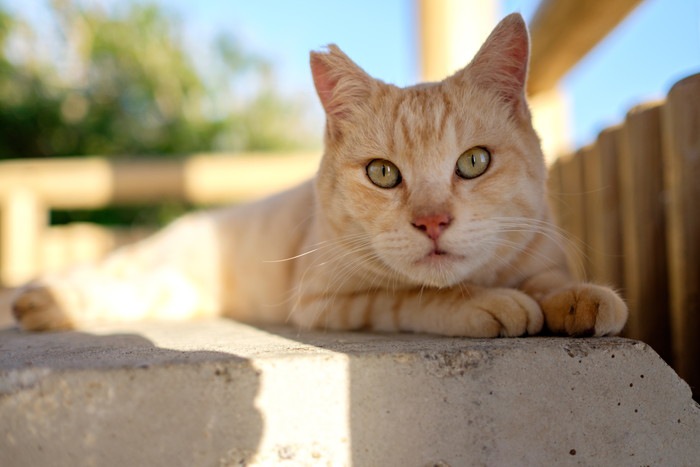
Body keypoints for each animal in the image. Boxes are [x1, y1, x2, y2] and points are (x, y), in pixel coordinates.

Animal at [10, 13, 628, 336]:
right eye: (383, 174)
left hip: (168, 296)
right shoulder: (329, 301)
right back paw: (34, 303)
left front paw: (580, 298)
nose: (432, 222)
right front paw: (488, 302)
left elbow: (549, 281)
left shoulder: (540, 252)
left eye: (473, 162)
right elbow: (410, 296)